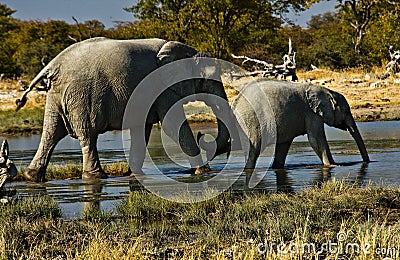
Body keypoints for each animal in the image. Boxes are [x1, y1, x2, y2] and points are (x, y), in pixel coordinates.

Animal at [17, 37, 231, 182]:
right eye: (208, 79)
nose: (203, 135)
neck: (187, 50)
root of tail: (54, 64)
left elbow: (142, 130)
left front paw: (135, 175)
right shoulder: (163, 87)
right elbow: (173, 125)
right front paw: (204, 172)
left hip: (57, 95)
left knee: (51, 132)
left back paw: (31, 176)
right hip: (81, 96)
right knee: (87, 134)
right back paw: (95, 177)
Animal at [198, 78, 370, 170]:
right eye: (346, 111)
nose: (366, 162)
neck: (326, 91)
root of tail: (236, 103)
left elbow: (284, 145)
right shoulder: (312, 114)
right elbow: (316, 140)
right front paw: (333, 166)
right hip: (251, 121)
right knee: (253, 149)